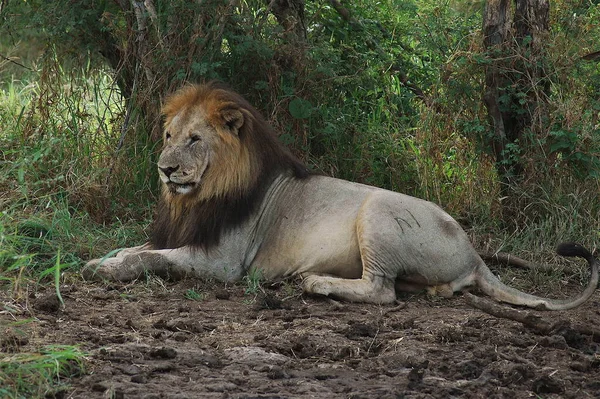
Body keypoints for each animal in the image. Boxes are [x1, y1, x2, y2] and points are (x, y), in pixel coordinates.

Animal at [84, 83, 600, 310]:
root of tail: (475, 254)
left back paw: (317, 283)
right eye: (169, 135)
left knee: (382, 291)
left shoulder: (223, 263)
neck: (195, 198)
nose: (165, 169)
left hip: (379, 210)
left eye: (194, 140)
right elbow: (134, 247)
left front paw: (108, 269)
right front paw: (99, 259)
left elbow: (151, 258)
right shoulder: (182, 234)